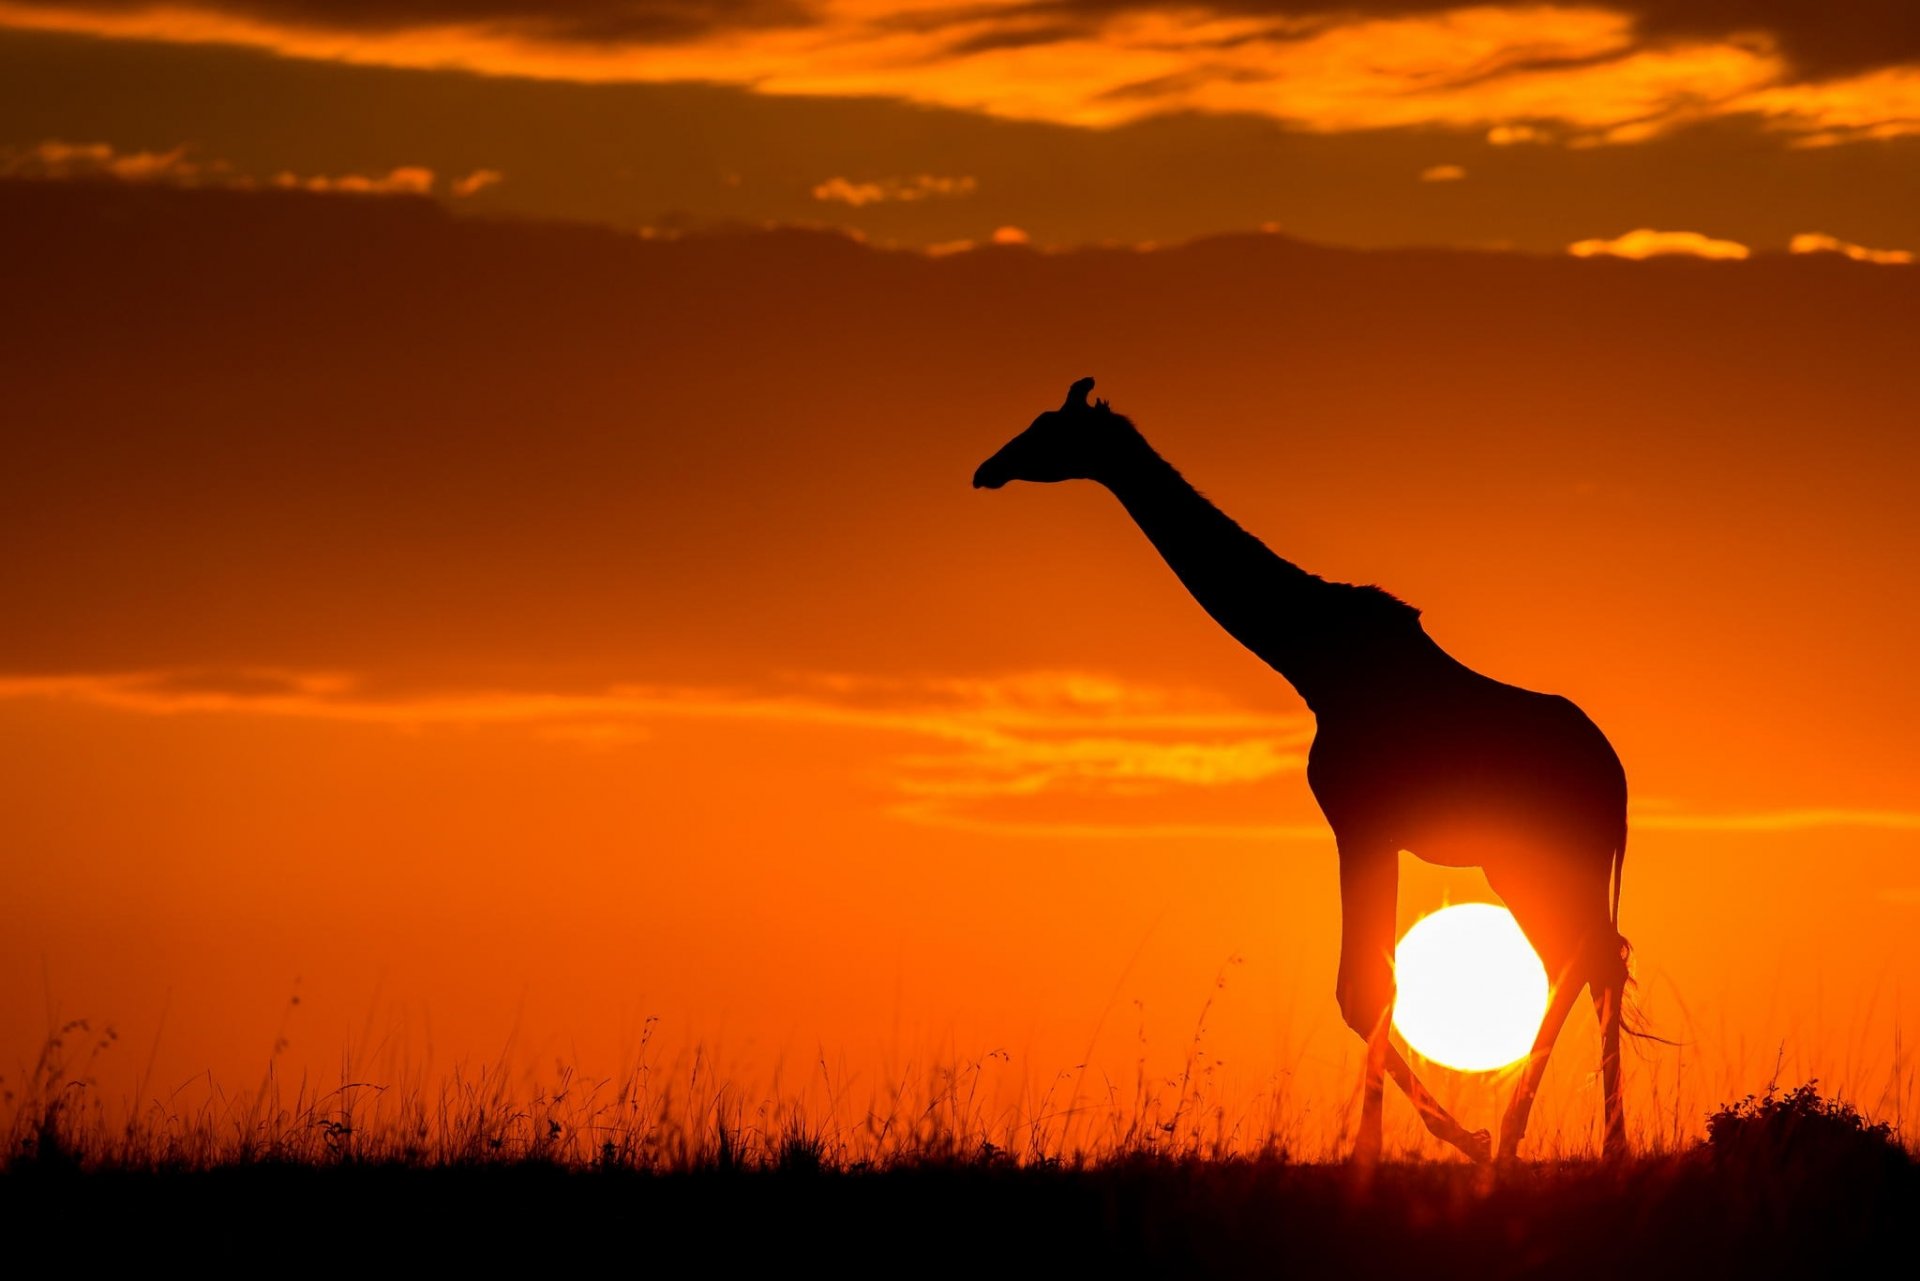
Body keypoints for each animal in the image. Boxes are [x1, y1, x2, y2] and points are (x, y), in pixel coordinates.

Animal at [973, 378, 1631, 1164]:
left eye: (1048, 428)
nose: (987, 469)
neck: (1311, 661)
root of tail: (1617, 780)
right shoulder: (1371, 829)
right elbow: (1371, 988)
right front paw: (1429, 1138)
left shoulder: (1361, 821)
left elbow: (1366, 988)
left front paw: (1383, 1151)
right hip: (1520, 862)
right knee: (1590, 961)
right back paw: (1565, 1141)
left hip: (1549, 857)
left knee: (1588, 960)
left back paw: (1528, 1140)